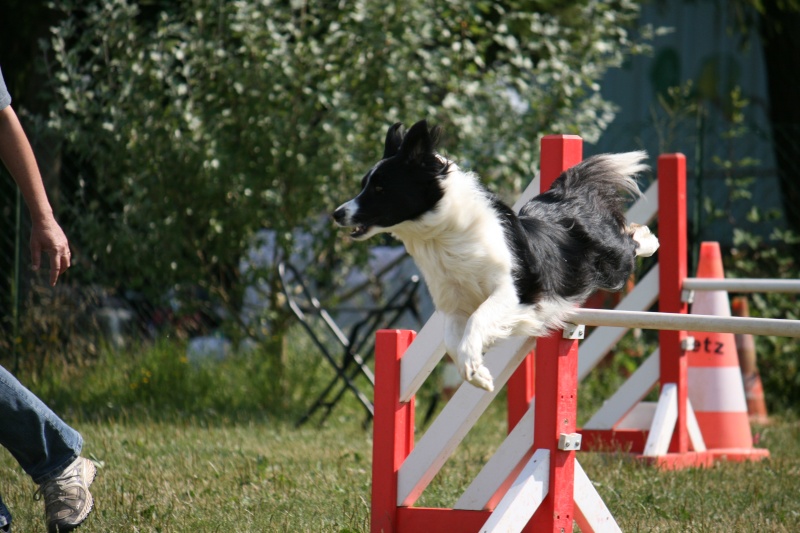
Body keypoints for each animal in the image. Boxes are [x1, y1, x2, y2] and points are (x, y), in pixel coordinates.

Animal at [332, 120, 656, 388]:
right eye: (363, 185)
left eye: (380, 188)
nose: (337, 214)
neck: (442, 235)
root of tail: (566, 196)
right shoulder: (454, 306)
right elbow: (452, 342)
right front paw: (478, 373)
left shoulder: (511, 292)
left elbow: (478, 319)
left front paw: (474, 367)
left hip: (613, 268)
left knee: (628, 244)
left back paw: (648, 238)